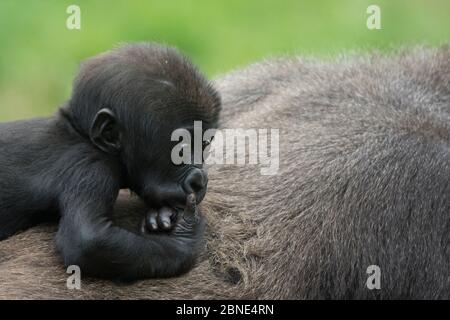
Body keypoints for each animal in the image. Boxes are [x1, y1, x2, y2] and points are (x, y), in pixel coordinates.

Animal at [0, 43, 220, 280]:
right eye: (182, 148)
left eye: (204, 145)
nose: (200, 180)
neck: (81, 134)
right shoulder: (92, 167)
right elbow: (88, 239)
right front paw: (183, 239)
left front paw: (162, 218)